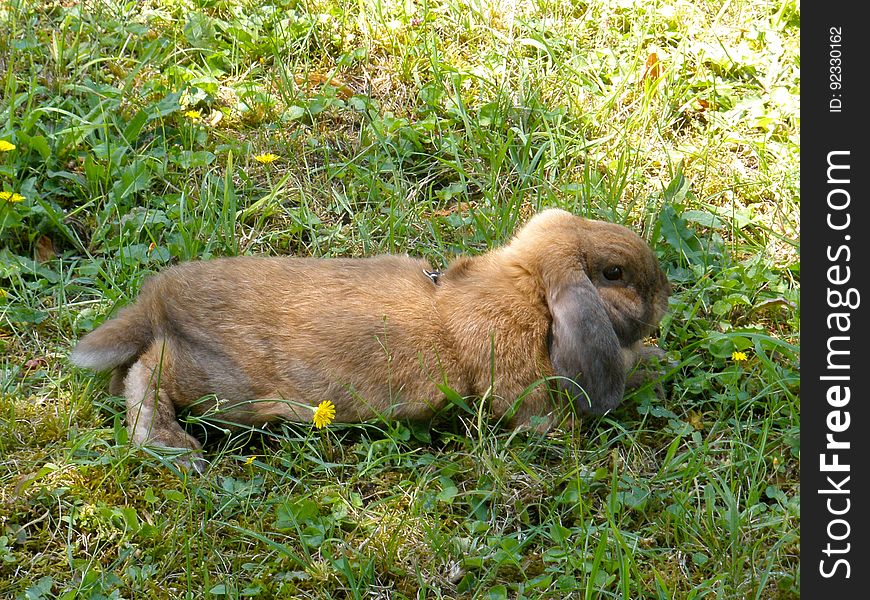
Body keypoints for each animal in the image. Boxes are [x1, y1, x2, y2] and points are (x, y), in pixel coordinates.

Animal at [71, 209, 672, 472]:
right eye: (615, 274)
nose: (666, 296)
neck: (528, 290)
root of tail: (158, 301)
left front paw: (654, 363)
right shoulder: (520, 383)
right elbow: (542, 418)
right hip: (222, 385)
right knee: (145, 373)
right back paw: (174, 447)